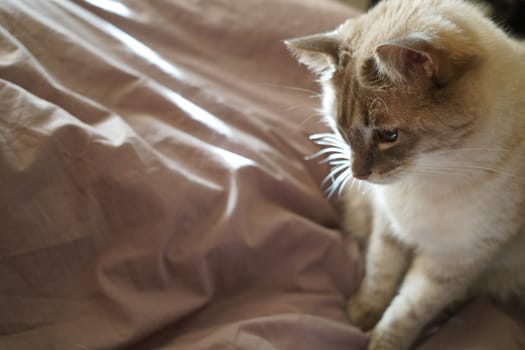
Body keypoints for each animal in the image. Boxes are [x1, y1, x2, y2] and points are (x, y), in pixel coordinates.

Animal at [286, 0, 524, 350]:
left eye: (389, 135)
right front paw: (360, 315)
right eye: (342, 131)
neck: (429, 173)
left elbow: (406, 312)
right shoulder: (389, 229)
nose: (359, 175)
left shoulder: (453, 261)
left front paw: (380, 342)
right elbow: (378, 277)